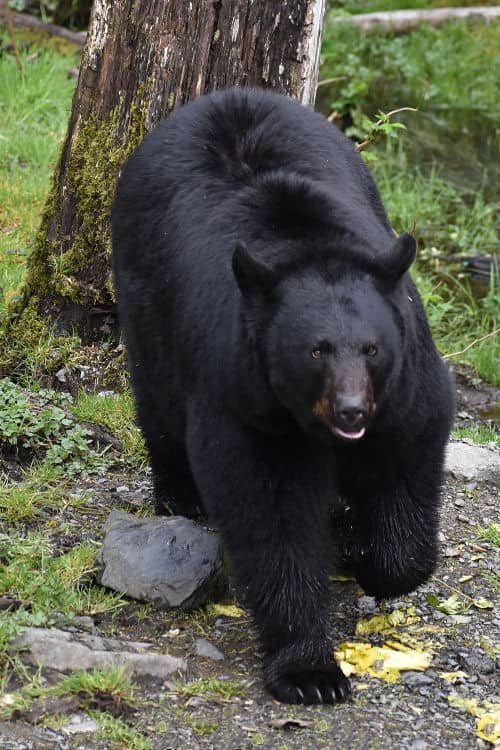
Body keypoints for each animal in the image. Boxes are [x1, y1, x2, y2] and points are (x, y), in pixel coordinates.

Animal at [111, 87, 455, 705]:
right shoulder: (245, 397)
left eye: (371, 348)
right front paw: (311, 672)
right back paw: (181, 496)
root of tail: (224, 97)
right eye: (316, 350)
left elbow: (409, 451)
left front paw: (371, 558)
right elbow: (270, 513)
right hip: (145, 304)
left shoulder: (405, 374)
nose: (352, 410)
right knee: (158, 406)